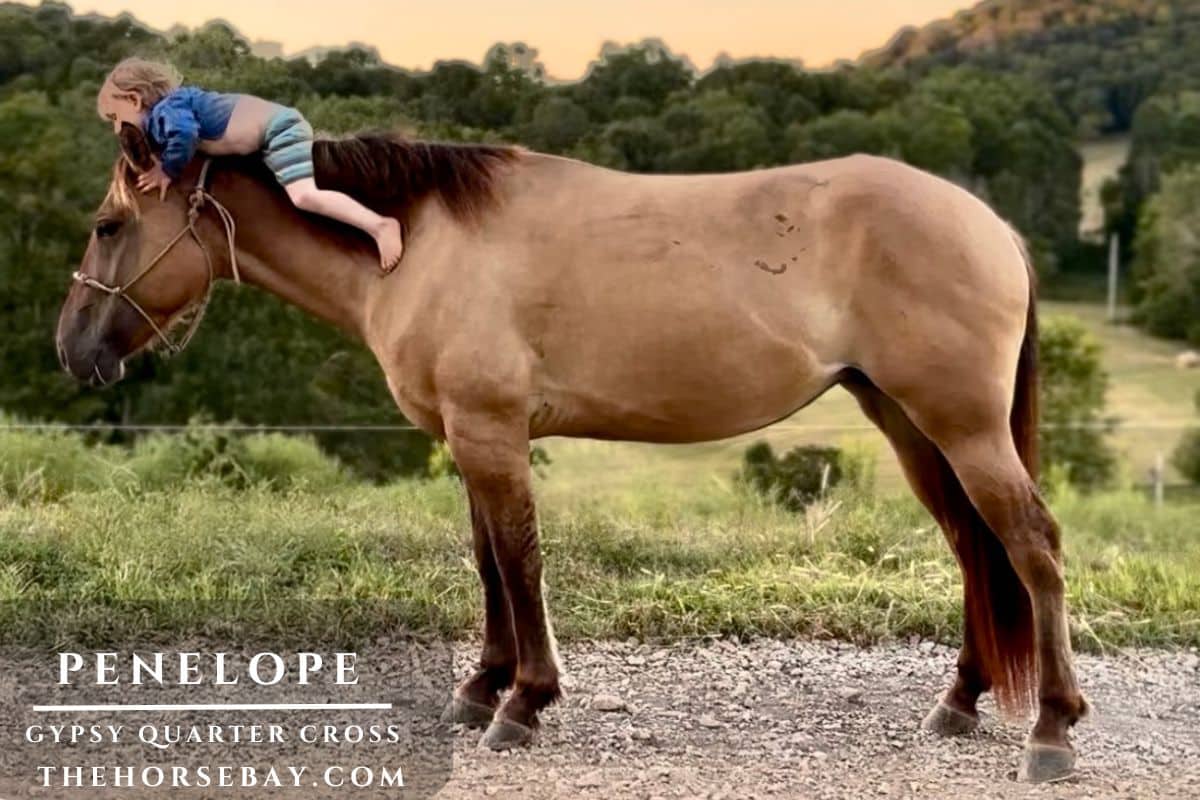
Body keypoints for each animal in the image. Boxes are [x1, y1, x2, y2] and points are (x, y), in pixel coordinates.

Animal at [56, 125, 1087, 782]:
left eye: (108, 227)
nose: (71, 350)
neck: (413, 244)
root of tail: (989, 224)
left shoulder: (490, 432)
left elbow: (518, 562)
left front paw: (524, 703)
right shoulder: (470, 438)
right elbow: (488, 565)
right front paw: (482, 688)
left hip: (959, 426)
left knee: (1031, 545)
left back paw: (1052, 729)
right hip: (912, 424)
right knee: (974, 546)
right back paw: (960, 702)